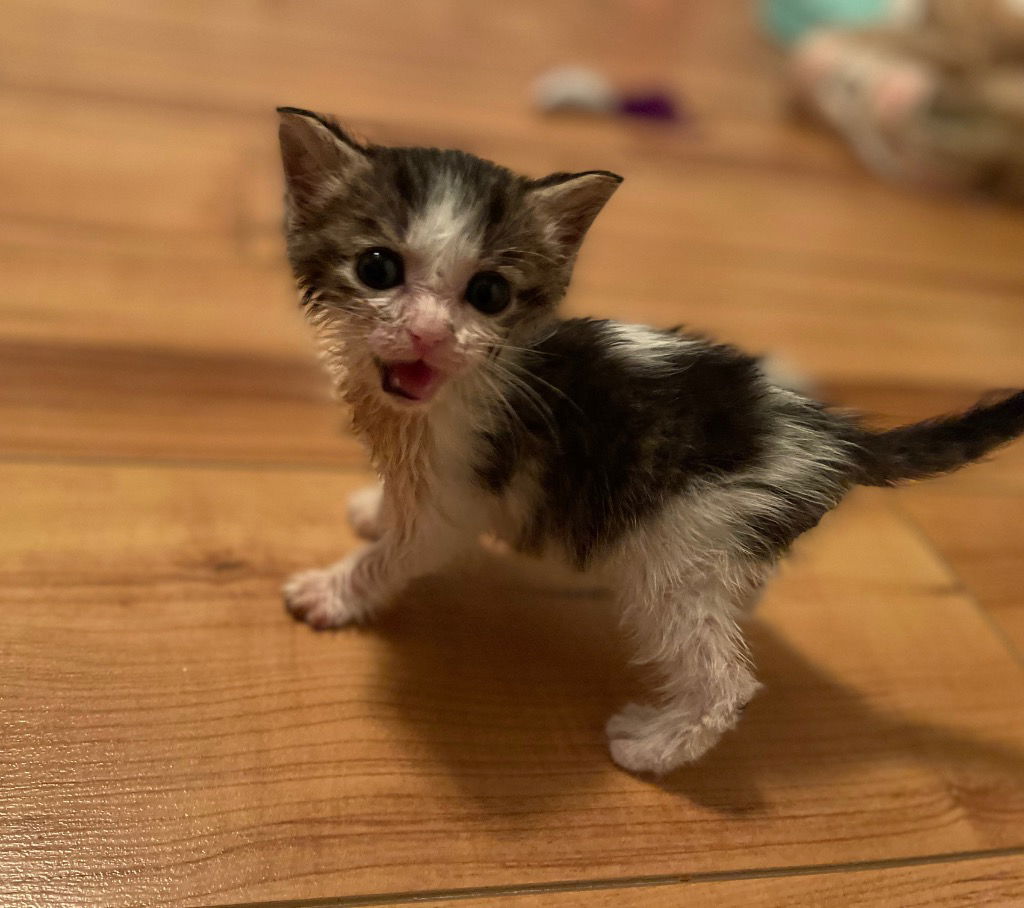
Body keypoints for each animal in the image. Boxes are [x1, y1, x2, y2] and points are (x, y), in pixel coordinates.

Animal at [278, 104, 1024, 773]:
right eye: (377, 269)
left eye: (488, 294)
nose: (428, 334)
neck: (464, 384)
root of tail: (829, 431)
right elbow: (398, 510)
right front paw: (376, 508)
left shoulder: (457, 500)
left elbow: (400, 553)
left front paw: (333, 591)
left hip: (679, 552)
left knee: (725, 682)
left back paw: (656, 747)